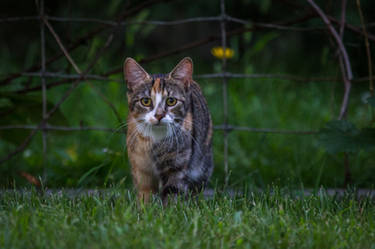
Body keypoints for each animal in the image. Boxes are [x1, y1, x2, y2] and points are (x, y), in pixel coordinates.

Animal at [124, 57, 214, 203]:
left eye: (171, 101)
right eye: (145, 101)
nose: (159, 115)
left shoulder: (177, 163)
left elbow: (173, 190)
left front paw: (170, 208)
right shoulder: (140, 165)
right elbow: (145, 192)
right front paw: (145, 207)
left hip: (202, 160)